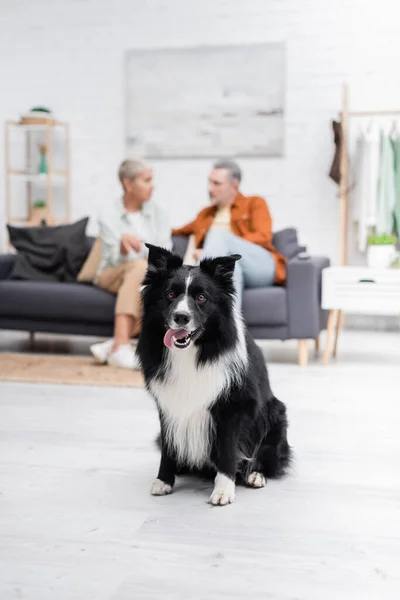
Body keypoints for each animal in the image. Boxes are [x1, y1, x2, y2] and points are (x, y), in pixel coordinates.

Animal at [138, 244, 290, 506]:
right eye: (170, 294)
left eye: (201, 298)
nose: (181, 317)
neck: (192, 352)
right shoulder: (167, 403)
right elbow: (168, 446)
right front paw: (164, 480)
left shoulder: (233, 408)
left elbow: (228, 449)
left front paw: (223, 491)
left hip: (276, 415)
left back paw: (255, 475)